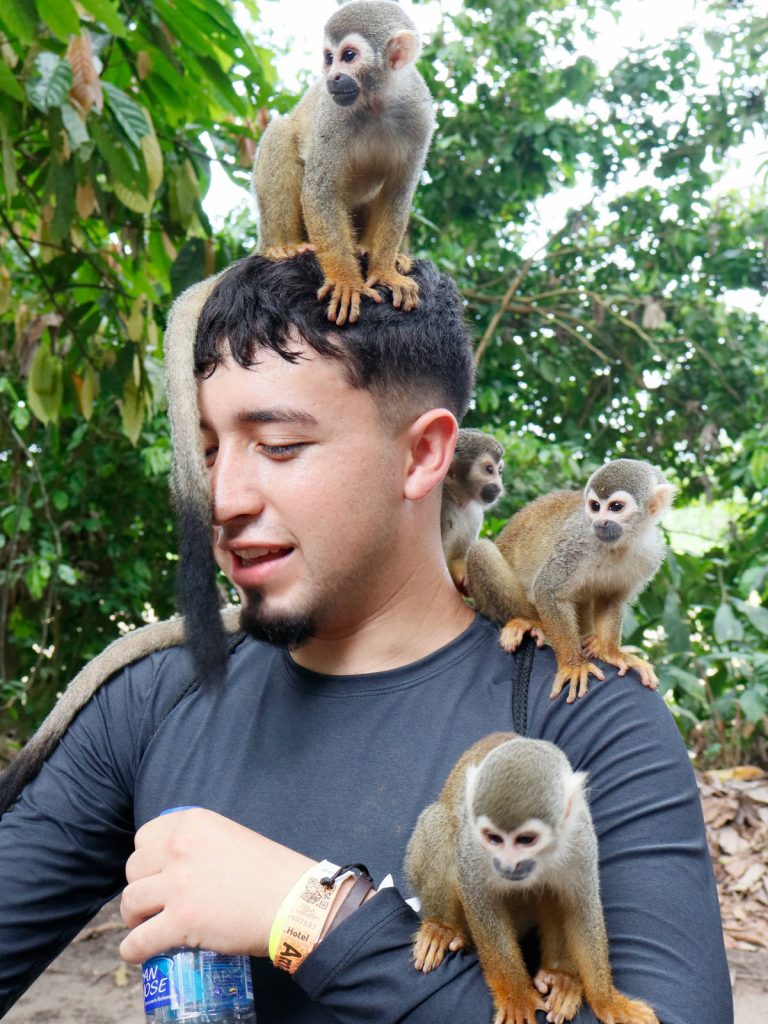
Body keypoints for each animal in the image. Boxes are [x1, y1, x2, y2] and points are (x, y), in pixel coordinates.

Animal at [250, 0, 436, 323]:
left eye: (348, 56)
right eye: (329, 58)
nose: (332, 76)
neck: (376, 103)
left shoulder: (420, 114)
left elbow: (397, 193)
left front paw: (384, 271)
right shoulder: (332, 113)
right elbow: (320, 191)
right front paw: (346, 281)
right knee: (280, 133)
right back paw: (283, 247)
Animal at [409, 733, 663, 1024]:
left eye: (526, 840)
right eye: (493, 838)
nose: (507, 864)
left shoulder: (580, 838)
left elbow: (580, 909)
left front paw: (608, 1001)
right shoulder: (474, 846)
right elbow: (480, 898)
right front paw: (517, 999)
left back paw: (561, 977)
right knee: (440, 824)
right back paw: (442, 929)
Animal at [466, 458, 675, 704]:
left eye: (615, 507)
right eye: (595, 506)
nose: (601, 523)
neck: (621, 543)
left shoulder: (650, 554)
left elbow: (610, 599)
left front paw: (612, 653)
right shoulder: (579, 543)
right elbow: (547, 589)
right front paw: (573, 665)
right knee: (481, 551)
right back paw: (531, 623)